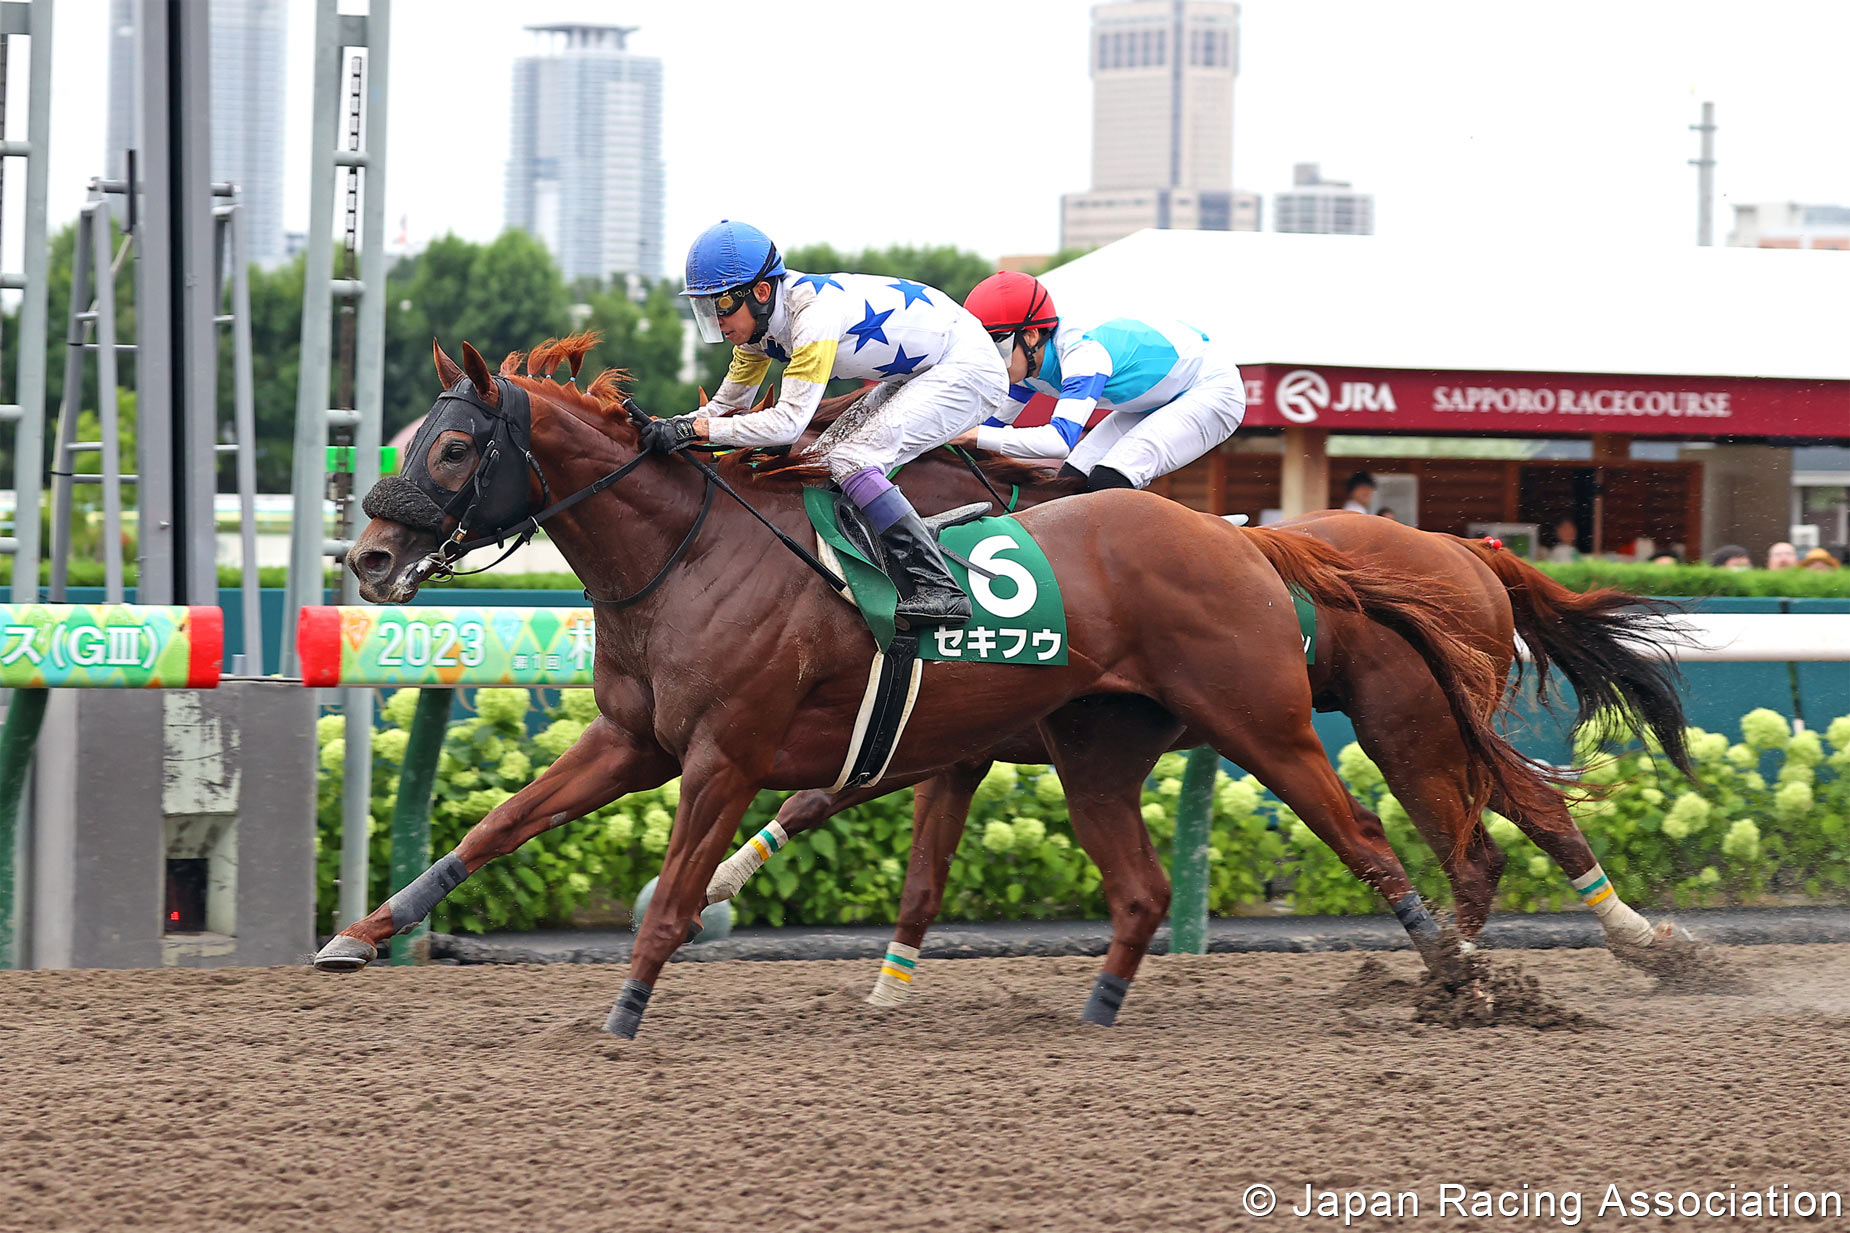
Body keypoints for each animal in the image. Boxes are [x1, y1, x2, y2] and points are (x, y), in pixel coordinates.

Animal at [314, 331, 1531, 1029]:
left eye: (454, 448)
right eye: (411, 436)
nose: (366, 559)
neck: (691, 555)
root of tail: (1245, 542)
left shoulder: (727, 756)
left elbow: (670, 892)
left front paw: (626, 1008)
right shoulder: (637, 742)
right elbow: (494, 827)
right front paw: (361, 935)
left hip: (1277, 724)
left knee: (1379, 840)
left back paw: (1458, 973)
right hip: (1100, 747)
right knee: (1144, 888)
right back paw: (1097, 1010)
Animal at [706, 431, 1702, 992]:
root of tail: (1468, 549)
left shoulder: (955, 730)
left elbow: (835, 790)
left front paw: (712, 882)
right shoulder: (952, 738)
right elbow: (838, 805)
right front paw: (727, 880)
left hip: (1407, 726)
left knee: (1492, 837)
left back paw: (1543, 951)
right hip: (1434, 724)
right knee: (1511, 827)